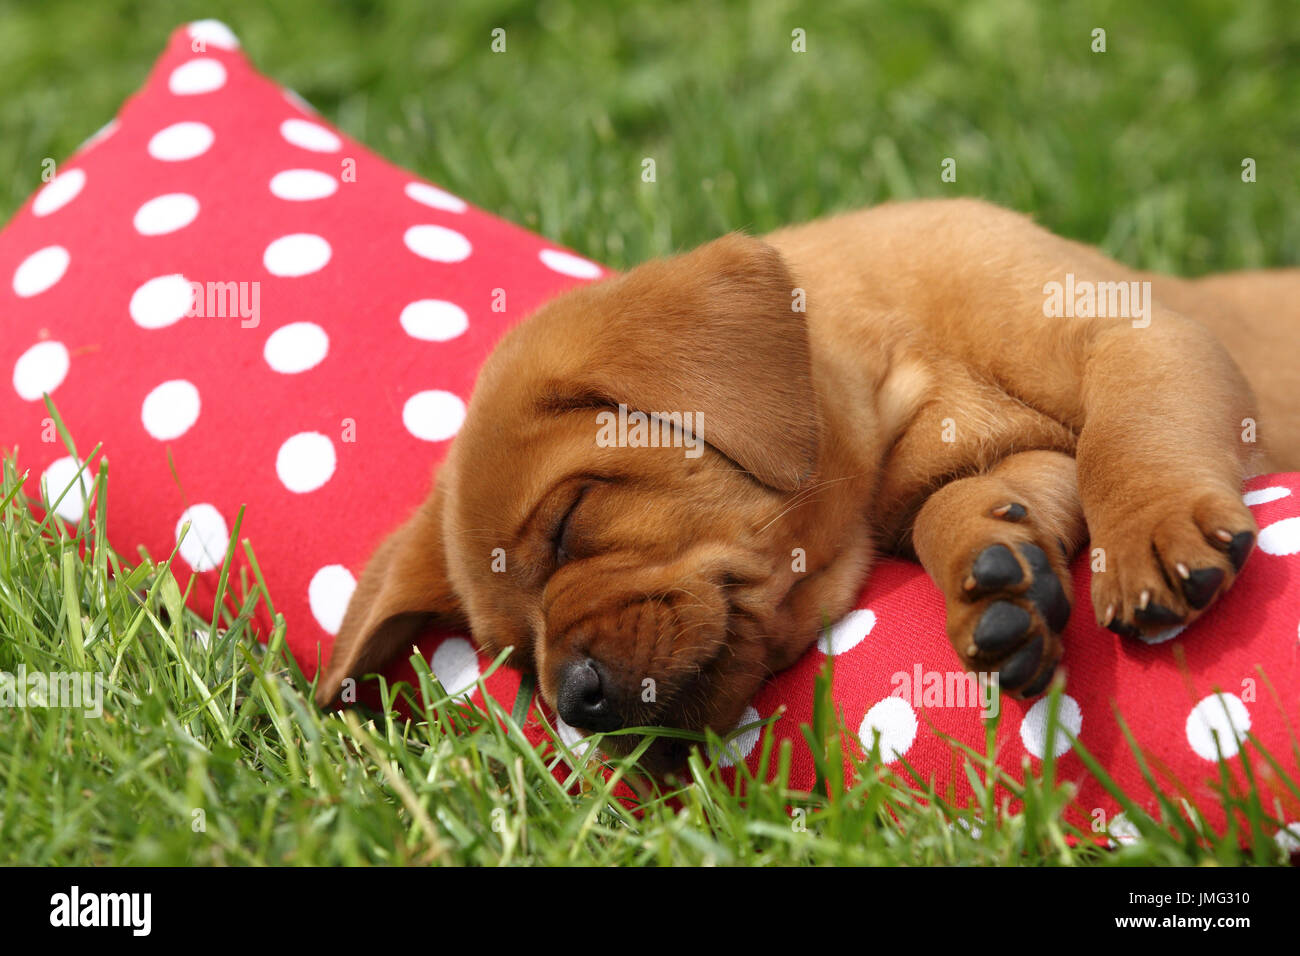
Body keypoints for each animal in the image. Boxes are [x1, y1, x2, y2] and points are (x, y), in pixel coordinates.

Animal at [314, 197, 1300, 775]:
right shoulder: (1004, 464)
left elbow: (1129, 433)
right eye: (517, 661)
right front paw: (995, 581)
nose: (581, 703)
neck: (912, 367)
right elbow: (972, 502)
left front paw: (1150, 529)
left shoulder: (1134, 333)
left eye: (571, 523)